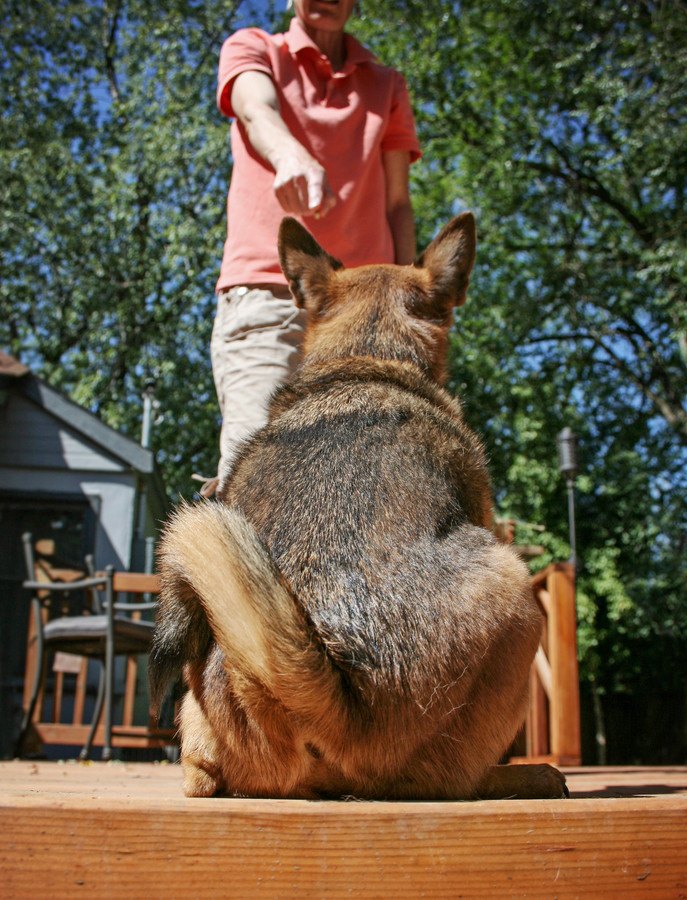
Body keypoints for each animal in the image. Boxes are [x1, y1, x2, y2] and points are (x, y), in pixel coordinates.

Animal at [153, 216, 568, 800]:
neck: (367, 358)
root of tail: (332, 701)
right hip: (515, 591)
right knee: (456, 782)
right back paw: (524, 775)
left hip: (197, 717)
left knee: (200, 777)